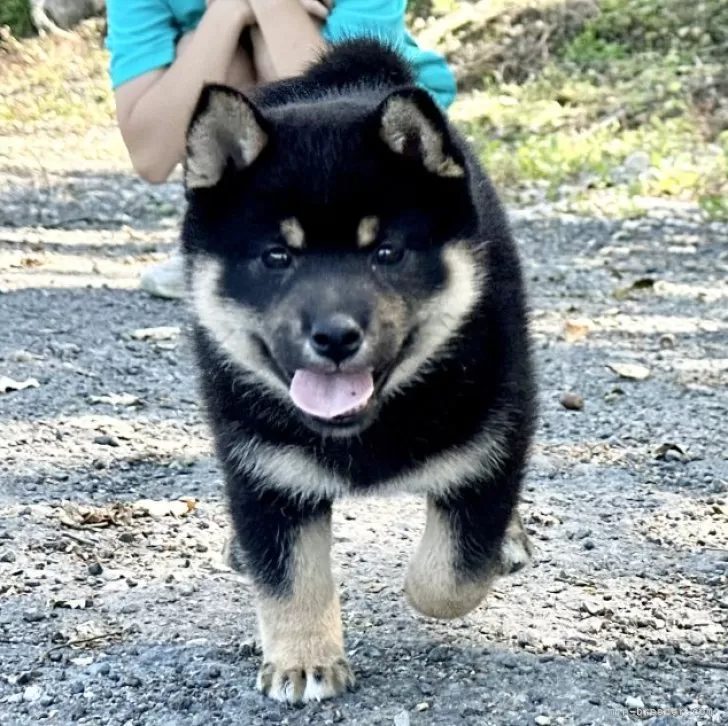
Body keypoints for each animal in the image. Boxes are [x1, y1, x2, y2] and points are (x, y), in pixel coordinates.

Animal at [182, 38, 536, 704]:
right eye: (277, 256)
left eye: (387, 252)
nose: (335, 336)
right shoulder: (265, 468)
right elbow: (289, 577)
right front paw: (302, 660)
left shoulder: (493, 443)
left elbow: (451, 574)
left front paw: (440, 577)